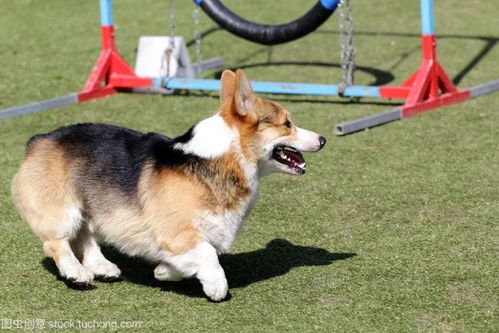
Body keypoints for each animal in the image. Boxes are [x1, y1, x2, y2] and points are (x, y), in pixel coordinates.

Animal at [11, 68, 326, 300]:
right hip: (64, 211)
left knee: (85, 238)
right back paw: (76, 273)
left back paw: (103, 267)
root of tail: (38, 140)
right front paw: (216, 286)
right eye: (287, 124)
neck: (222, 158)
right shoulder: (177, 233)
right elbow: (208, 255)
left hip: (90, 210)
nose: (323, 139)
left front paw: (163, 272)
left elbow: (188, 261)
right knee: (57, 243)